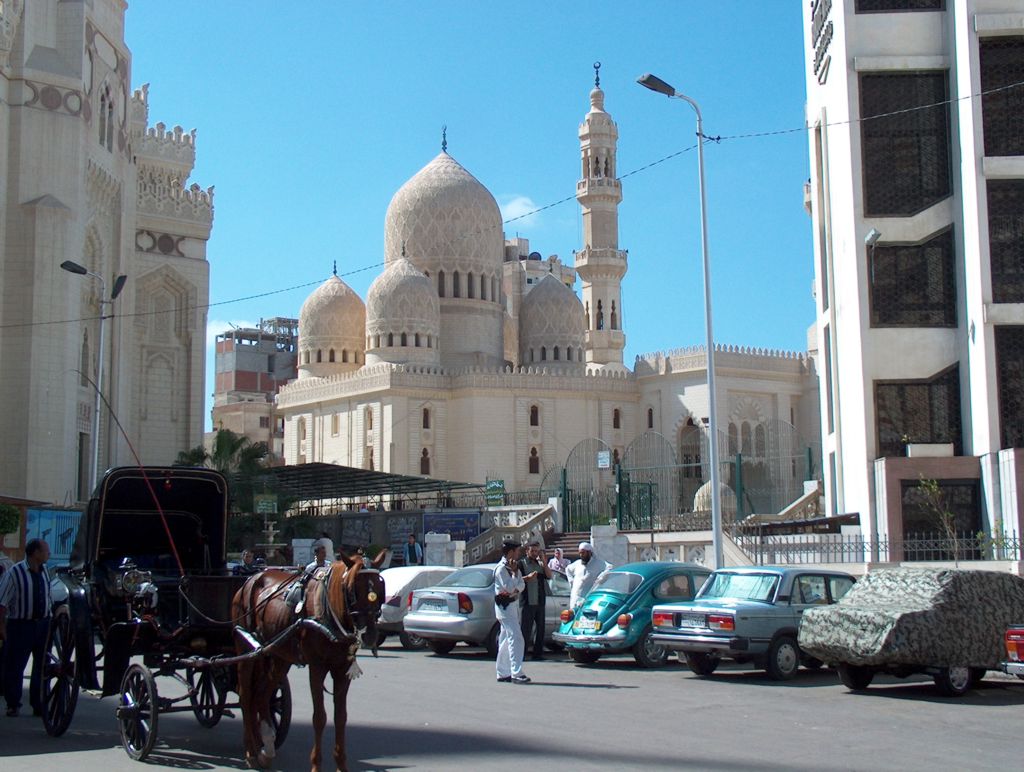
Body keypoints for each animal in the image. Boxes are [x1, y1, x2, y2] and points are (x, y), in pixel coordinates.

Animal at [232, 548, 387, 765]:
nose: (370, 635)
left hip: (277, 656)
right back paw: (250, 751)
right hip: (246, 651)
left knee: (261, 695)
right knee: (246, 695)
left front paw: (341, 763)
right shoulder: (317, 667)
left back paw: (265, 746)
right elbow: (319, 717)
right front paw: (315, 764)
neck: (329, 613)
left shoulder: (342, 670)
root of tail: (251, 579)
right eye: (351, 589)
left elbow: (341, 717)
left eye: (380, 587)